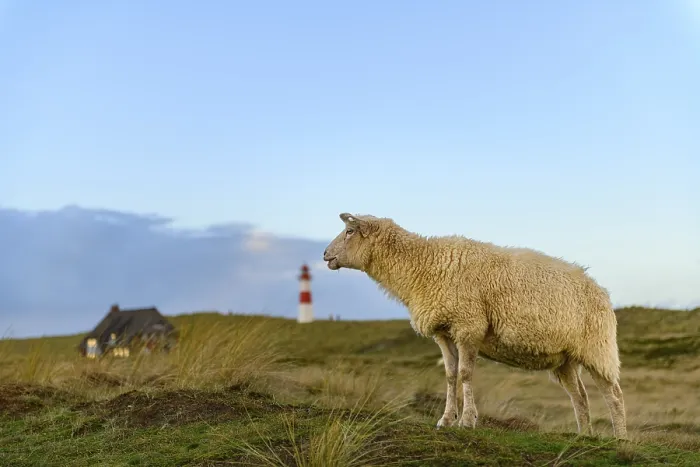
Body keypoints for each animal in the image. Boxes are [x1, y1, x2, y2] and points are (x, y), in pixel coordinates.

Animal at [322, 212, 627, 439]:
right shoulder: (444, 332)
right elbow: (450, 375)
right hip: (565, 359)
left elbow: (466, 374)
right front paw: (446, 419)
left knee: (614, 395)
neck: (422, 265)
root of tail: (601, 290)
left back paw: (620, 439)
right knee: (581, 396)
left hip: (598, 349)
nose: (325, 255)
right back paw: (584, 436)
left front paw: (467, 420)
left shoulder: (469, 326)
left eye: (349, 231)